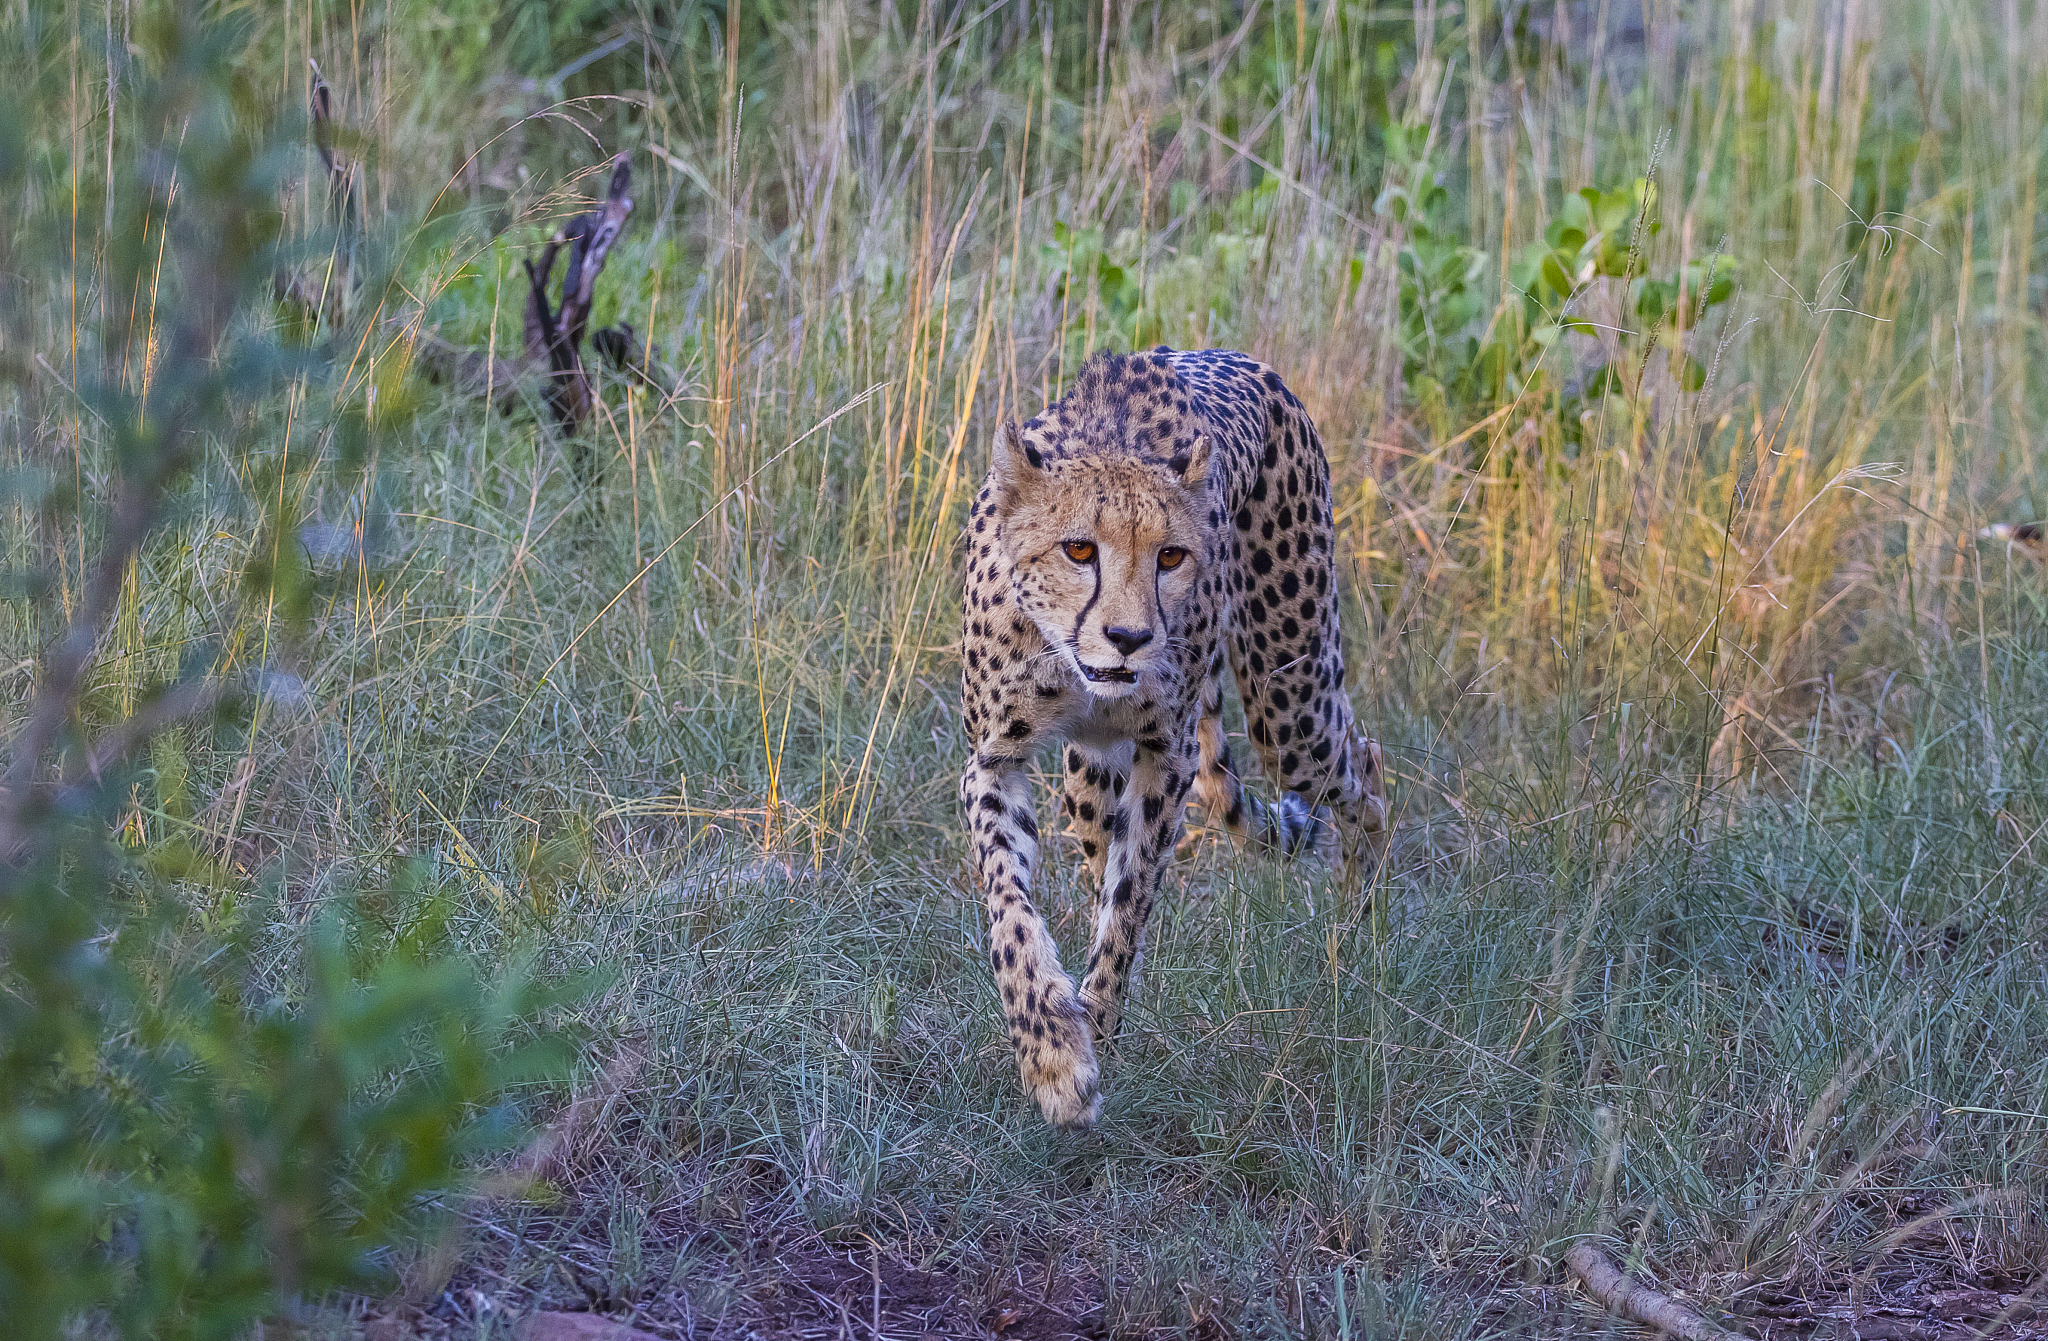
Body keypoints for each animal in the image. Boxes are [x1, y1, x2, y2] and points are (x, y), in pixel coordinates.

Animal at [958, 346, 1390, 1129]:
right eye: (1078, 550)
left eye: (1171, 557)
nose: (1129, 638)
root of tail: (1240, 360)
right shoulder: (993, 759)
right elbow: (1010, 909)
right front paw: (1053, 1053)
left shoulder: (1170, 754)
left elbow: (1128, 905)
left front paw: (1091, 1031)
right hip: (1089, 773)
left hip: (1290, 705)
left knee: (1362, 764)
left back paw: (1361, 927)